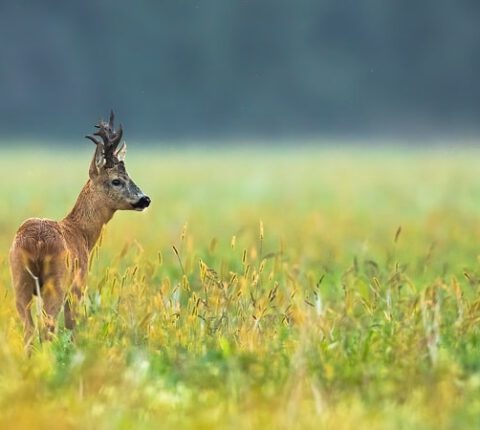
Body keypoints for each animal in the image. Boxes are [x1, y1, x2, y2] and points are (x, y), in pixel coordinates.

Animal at [9, 111, 150, 350]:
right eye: (117, 181)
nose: (145, 199)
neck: (81, 233)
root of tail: (36, 242)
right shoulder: (78, 284)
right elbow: (73, 326)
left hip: (20, 280)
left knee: (29, 330)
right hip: (56, 282)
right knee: (48, 328)